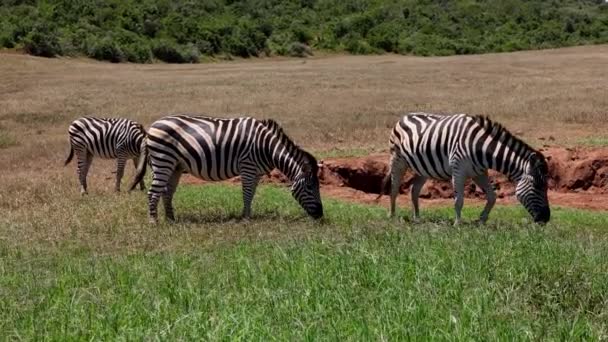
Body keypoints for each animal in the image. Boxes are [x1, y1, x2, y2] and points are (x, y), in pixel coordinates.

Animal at [128, 113, 324, 223]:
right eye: (310, 187)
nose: (321, 215)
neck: (267, 147)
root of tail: (150, 129)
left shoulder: (256, 173)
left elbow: (252, 194)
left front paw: (247, 215)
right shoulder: (247, 166)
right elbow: (246, 194)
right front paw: (245, 219)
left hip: (174, 166)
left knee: (166, 192)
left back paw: (171, 220)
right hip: (163, 161)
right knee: (153, 192)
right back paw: (153, 221)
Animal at [376, 112, 552, 224]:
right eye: (538, 186)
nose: (546, 218)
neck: (481, 147)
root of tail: (404, 116)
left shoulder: (479, 172)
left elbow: (492, 197)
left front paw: (481, 219)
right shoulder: (458, 169)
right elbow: (459, 200)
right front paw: (457, 223)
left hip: (423, 168)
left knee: (414, 190)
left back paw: (417, 218)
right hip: (397, 160)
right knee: (394, 188)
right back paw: (392, 216)